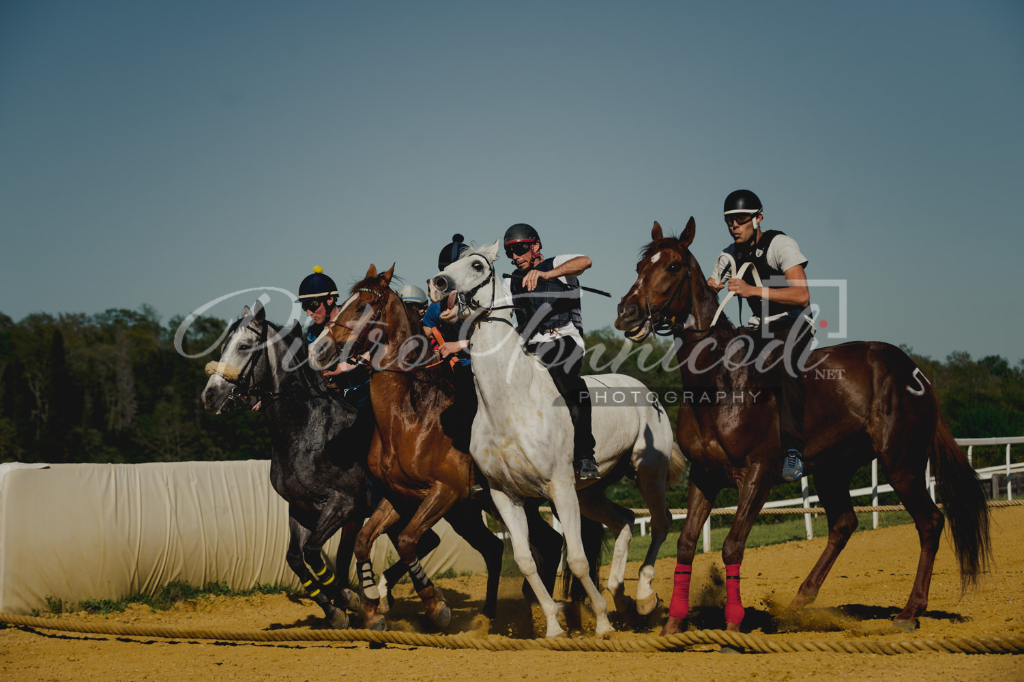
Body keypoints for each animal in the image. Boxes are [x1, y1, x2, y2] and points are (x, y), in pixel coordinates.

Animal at [307, 262, 565, 630]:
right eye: (343, 303)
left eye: (362, 308)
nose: (319, 350)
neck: (410, 418)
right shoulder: (398, 496)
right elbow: (363, 540)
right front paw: (371, 607)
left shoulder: (445, 492)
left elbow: (406, 541)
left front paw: (435, 606)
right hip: (488, 507)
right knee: (515, 546)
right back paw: (494, 614)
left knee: (547, 542)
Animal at [428, 240, 684, 638]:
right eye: (448, 265)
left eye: (476, 265)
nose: (438, 284)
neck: (509, 403)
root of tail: (646, 391)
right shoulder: (505, 497)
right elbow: (526, 561)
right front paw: (553, 626)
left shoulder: (559, 488)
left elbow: (576, 560)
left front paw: (601, 623)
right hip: (591, 493)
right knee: (626, 521)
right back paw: (622, 598)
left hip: (648, 475)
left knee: (661, 522)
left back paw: (643, 597)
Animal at [610, 218, 987, 630]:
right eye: (639, 267)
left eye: (673, 266)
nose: (627, 313)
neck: (721, 381)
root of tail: (915, 371)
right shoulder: (705, 474)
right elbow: (686, 544)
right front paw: (673, 625)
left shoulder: (757, 473)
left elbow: (732, 547)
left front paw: (733, 625)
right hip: (834, 468)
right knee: (844, 524)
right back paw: (797, 604)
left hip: (901, 462)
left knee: (930, 521)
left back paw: (909, 611)